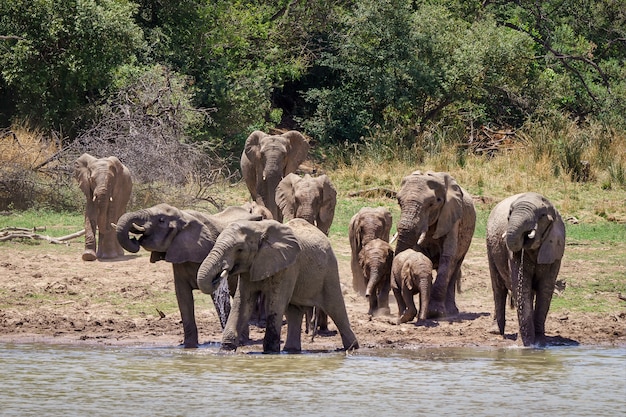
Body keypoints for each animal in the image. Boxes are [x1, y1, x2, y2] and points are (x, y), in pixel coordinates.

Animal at [115, 203, 260, 346]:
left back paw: (243, 341)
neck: (184, 216)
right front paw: (189, 346)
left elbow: (217, 296)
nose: (134, 239)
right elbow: (183, 297)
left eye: (161, 220)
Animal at [197, 218, 358, 352]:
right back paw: (291, 350)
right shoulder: (251, 267)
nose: (217, 277)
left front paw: (270, 352)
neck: (258, 227)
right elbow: (242, 303)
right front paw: (226, 350)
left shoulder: (289, 266)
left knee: (335, 308)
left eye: (239, 249)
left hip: (329, 270)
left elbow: (276, 303)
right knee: (293, 311)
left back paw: (352, 348)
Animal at [392, 171, 476, 316]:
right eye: (399, 202)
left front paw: (434, 313)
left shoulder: (452, 217)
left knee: (455, 268)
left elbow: (448, 256)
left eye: (432, 203)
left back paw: (451, 311)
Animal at [482, 191, 564, 344]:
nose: (525, 237)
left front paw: (539, 342)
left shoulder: (555, 250)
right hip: (489, 245)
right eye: (510, 212)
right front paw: (525, 344)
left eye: (542, 215)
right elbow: (521, 286)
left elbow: (545, 289)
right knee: (498, 288)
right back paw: (496, 332)